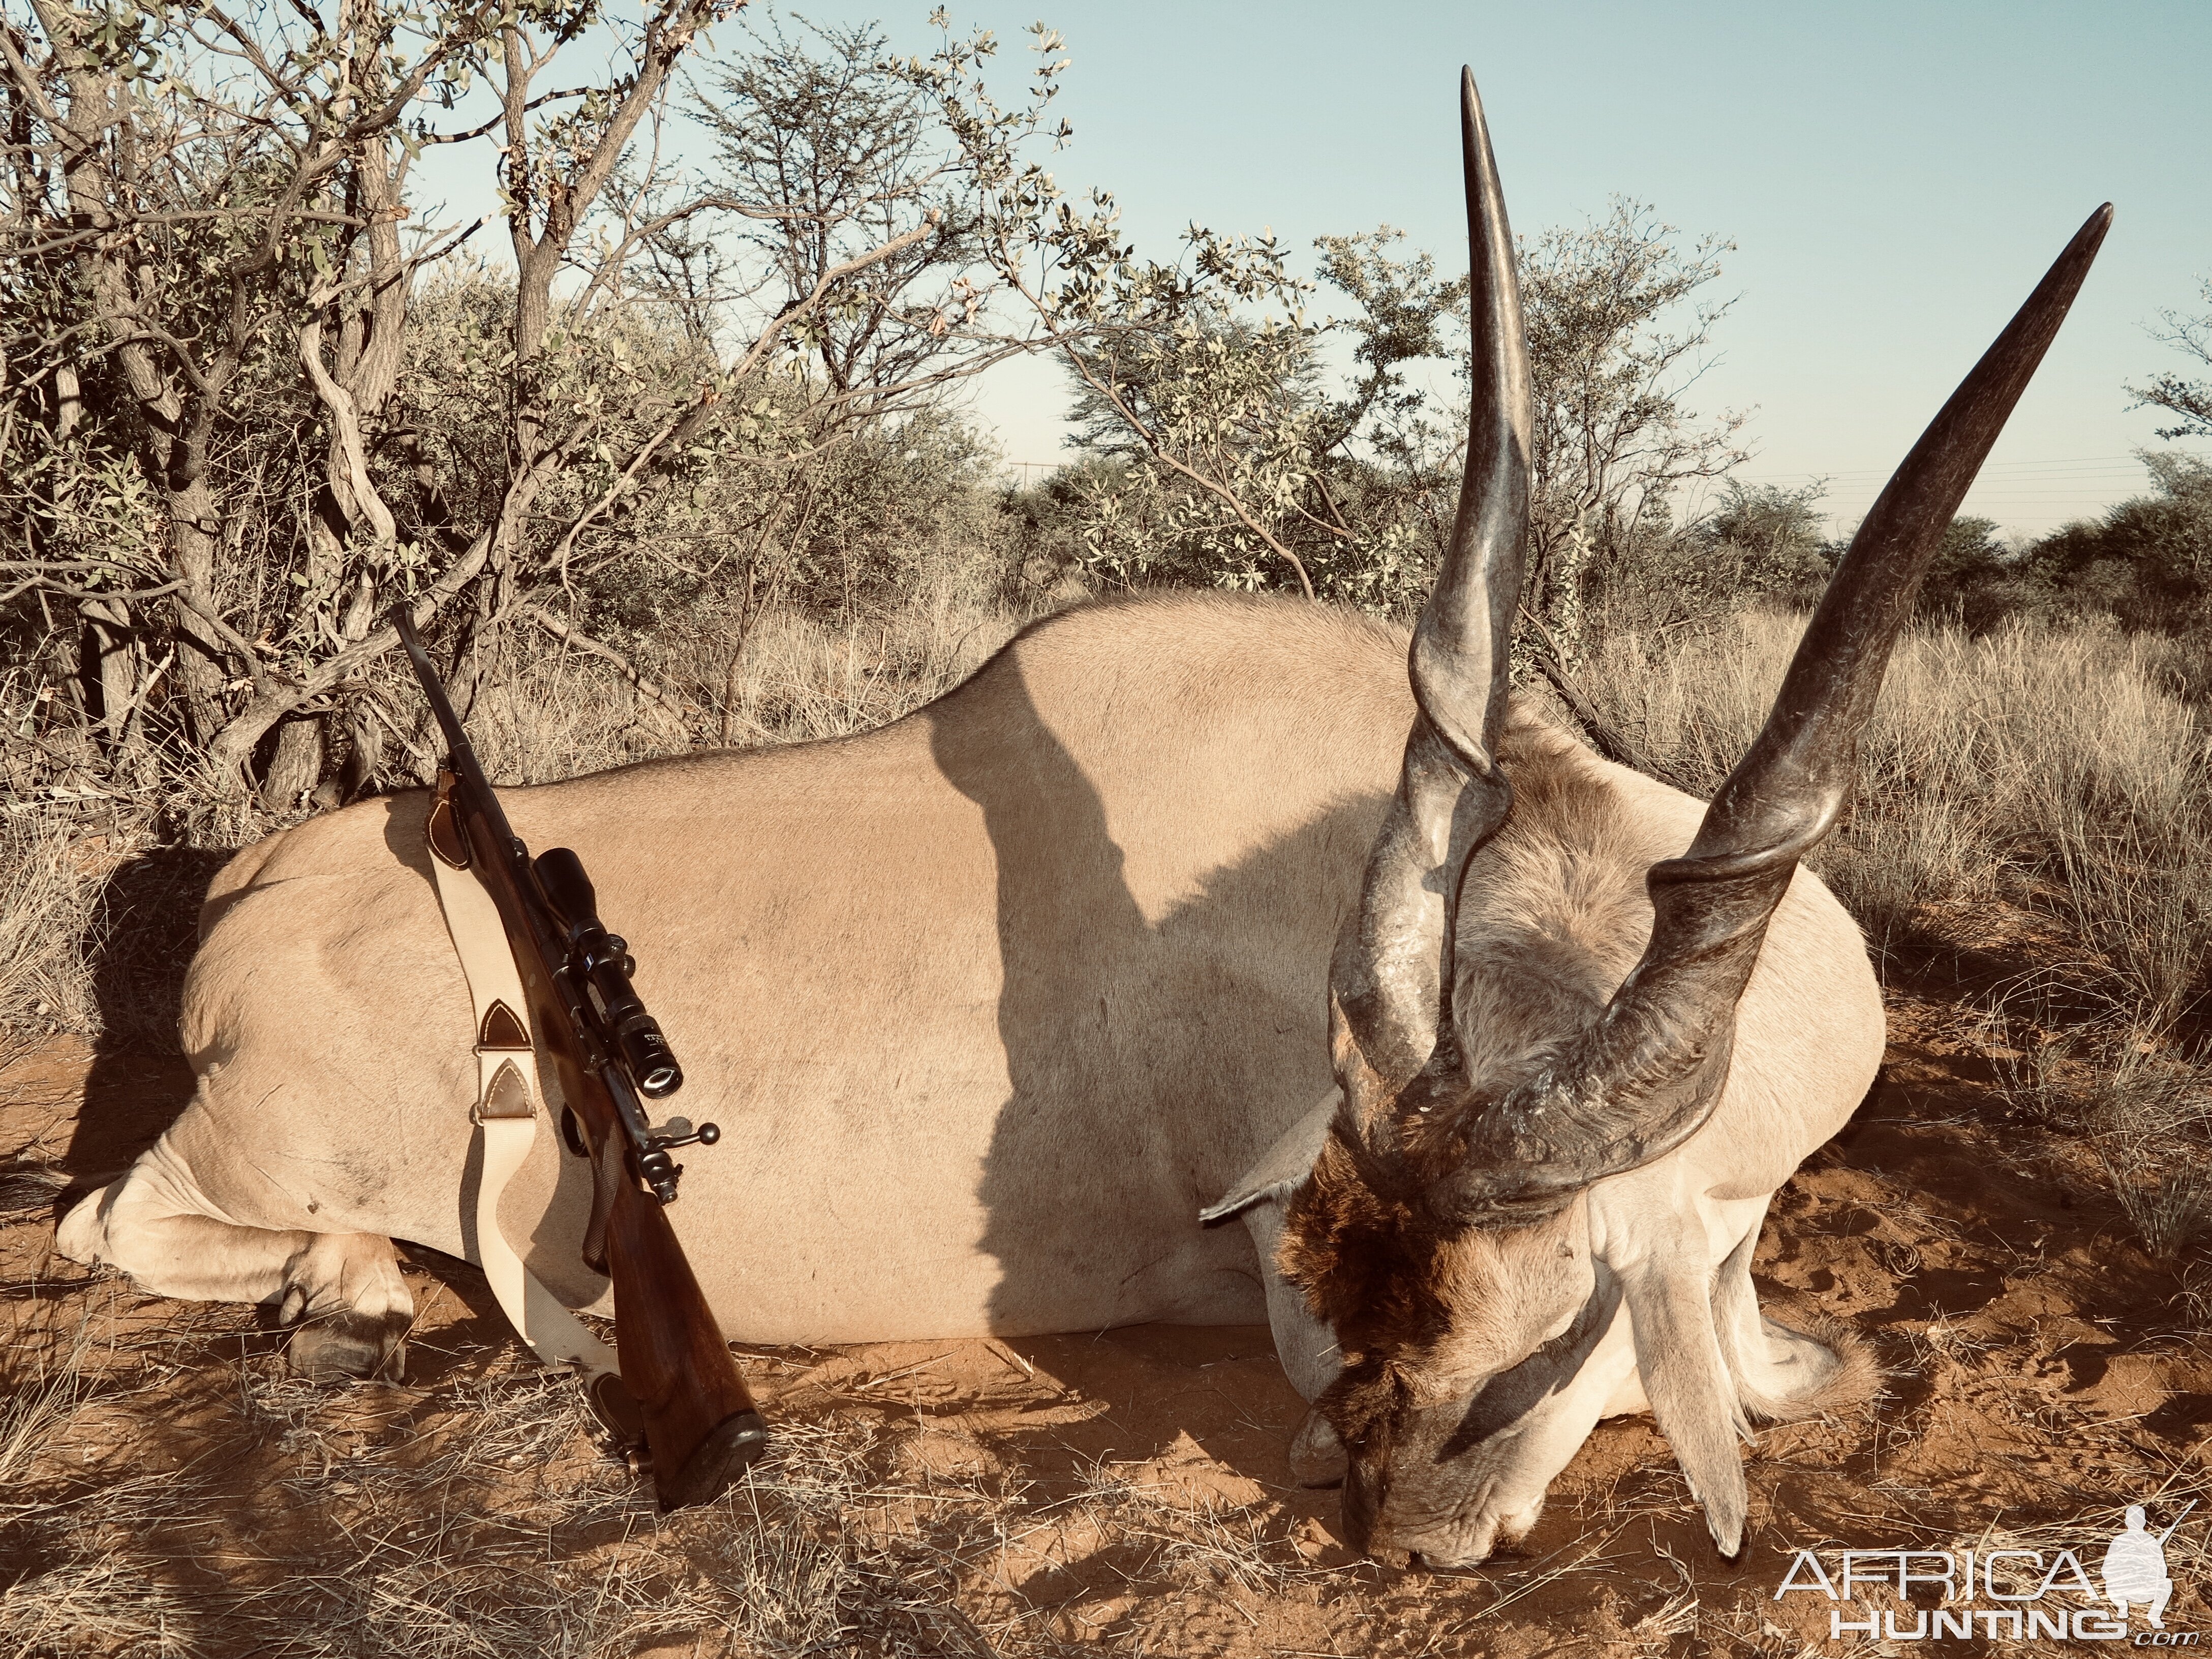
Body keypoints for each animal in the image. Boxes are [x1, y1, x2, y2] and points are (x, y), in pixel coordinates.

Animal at [56, 68, 2106, 1575]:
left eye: (1550, 1302)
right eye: (1409, 1303)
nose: (1404, 1534)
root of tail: (238, 884)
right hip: (252, 1158)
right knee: (104, 1221)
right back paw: (357, 1293)